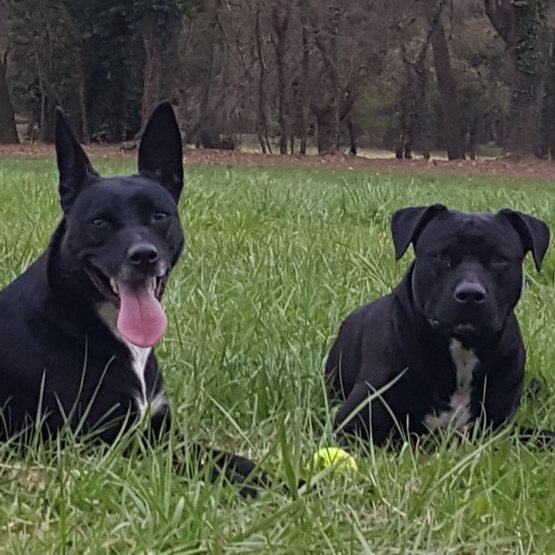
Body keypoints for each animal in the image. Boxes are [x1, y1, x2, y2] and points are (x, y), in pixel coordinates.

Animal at [0, 102, 268, 498]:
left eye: (160, 215)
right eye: (99, 222)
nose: (143, 256)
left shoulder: (160, 428)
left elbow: (225, 458)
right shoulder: (113, 442)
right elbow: (199, 463)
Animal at [328, 206, 552, 450]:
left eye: (500, 259)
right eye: (440, 256)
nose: (470, 294)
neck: (462, 351)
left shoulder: (499, 429)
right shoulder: (354, 422)